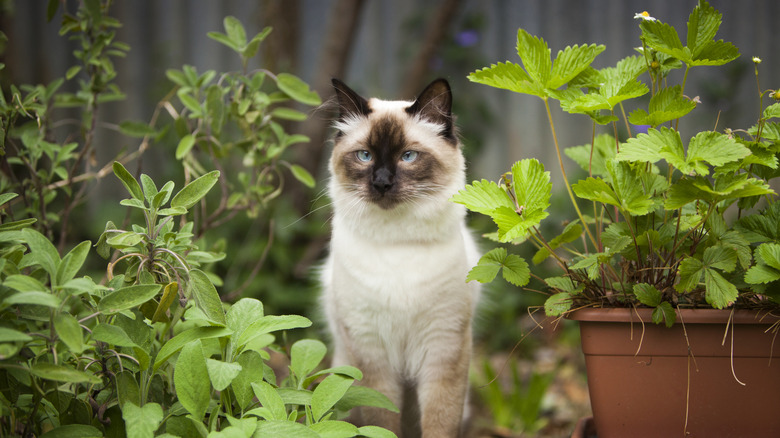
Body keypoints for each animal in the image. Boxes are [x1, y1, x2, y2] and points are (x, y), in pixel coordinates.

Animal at [318, 78, 478, 438]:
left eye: (408, 156)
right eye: (364, 156)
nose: (381, 183)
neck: (397, 245)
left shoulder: (443, 347)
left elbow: (439, 424)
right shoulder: (372, 353)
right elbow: (382, 422)